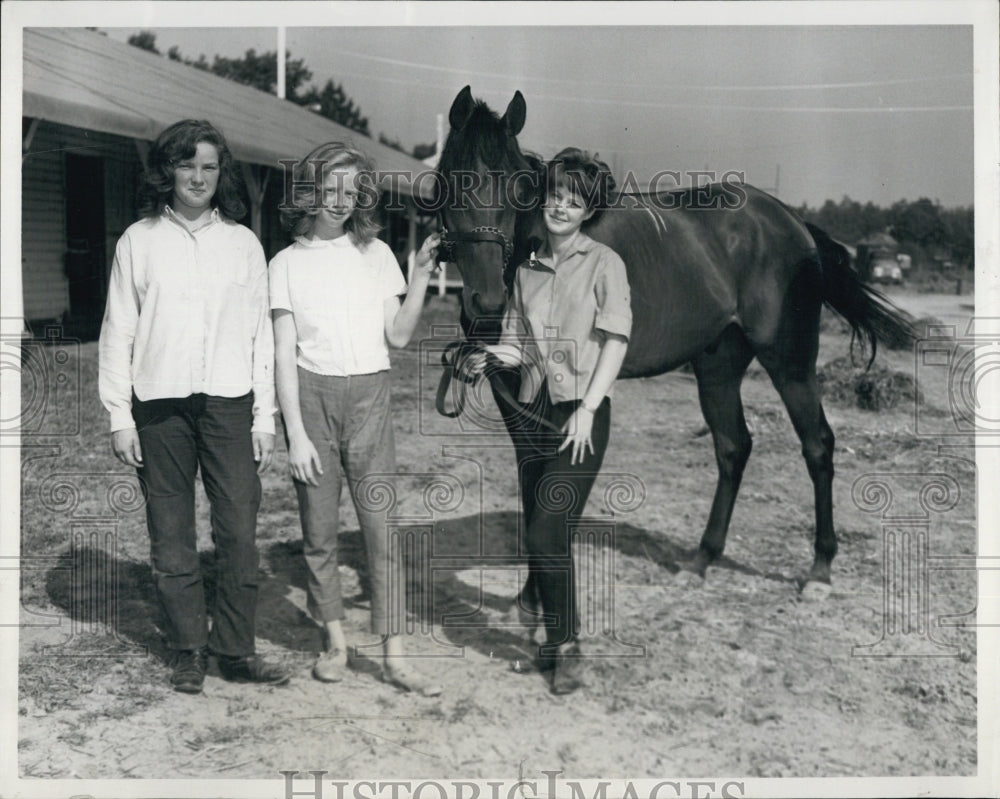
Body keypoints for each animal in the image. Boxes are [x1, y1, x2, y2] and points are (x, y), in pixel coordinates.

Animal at [438, 84, 916, 592]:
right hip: (718, 366)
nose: (489, 301)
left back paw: (820, 568)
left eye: (519, 188)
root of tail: (793, 222)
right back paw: (702, 558)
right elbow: (531, 478)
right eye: (451, 180)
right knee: (733, 447)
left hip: (790, 363)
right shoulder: (511, 388)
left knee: (818, 444)